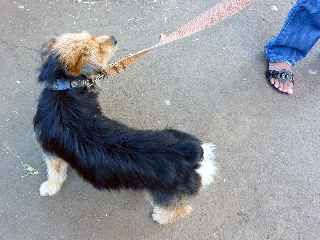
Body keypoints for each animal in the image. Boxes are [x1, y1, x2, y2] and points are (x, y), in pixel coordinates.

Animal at [33, 32, 216, 225]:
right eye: (97, 48)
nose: (114, 38)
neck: (64, 88)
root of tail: (193, 153)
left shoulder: (51, 153)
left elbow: (54, 173)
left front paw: (49, 187)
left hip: (163, 195)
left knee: (181, 209)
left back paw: (160, 217)